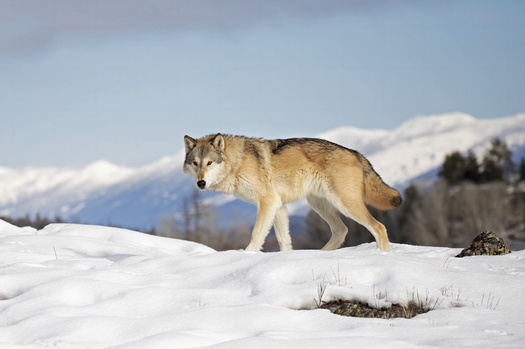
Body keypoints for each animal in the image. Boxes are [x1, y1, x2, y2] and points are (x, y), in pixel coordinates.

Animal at [183, 133, 402, 250]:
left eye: (209, 163)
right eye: (195, 163)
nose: (200, 183)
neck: (237, 162)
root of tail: (357, 153)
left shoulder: (269, 202)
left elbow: (256, 234)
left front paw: (246, 255)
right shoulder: (278, 206)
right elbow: (284, 240)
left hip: (345, 204)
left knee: (379, 227)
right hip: (319, 204)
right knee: (342, 230)